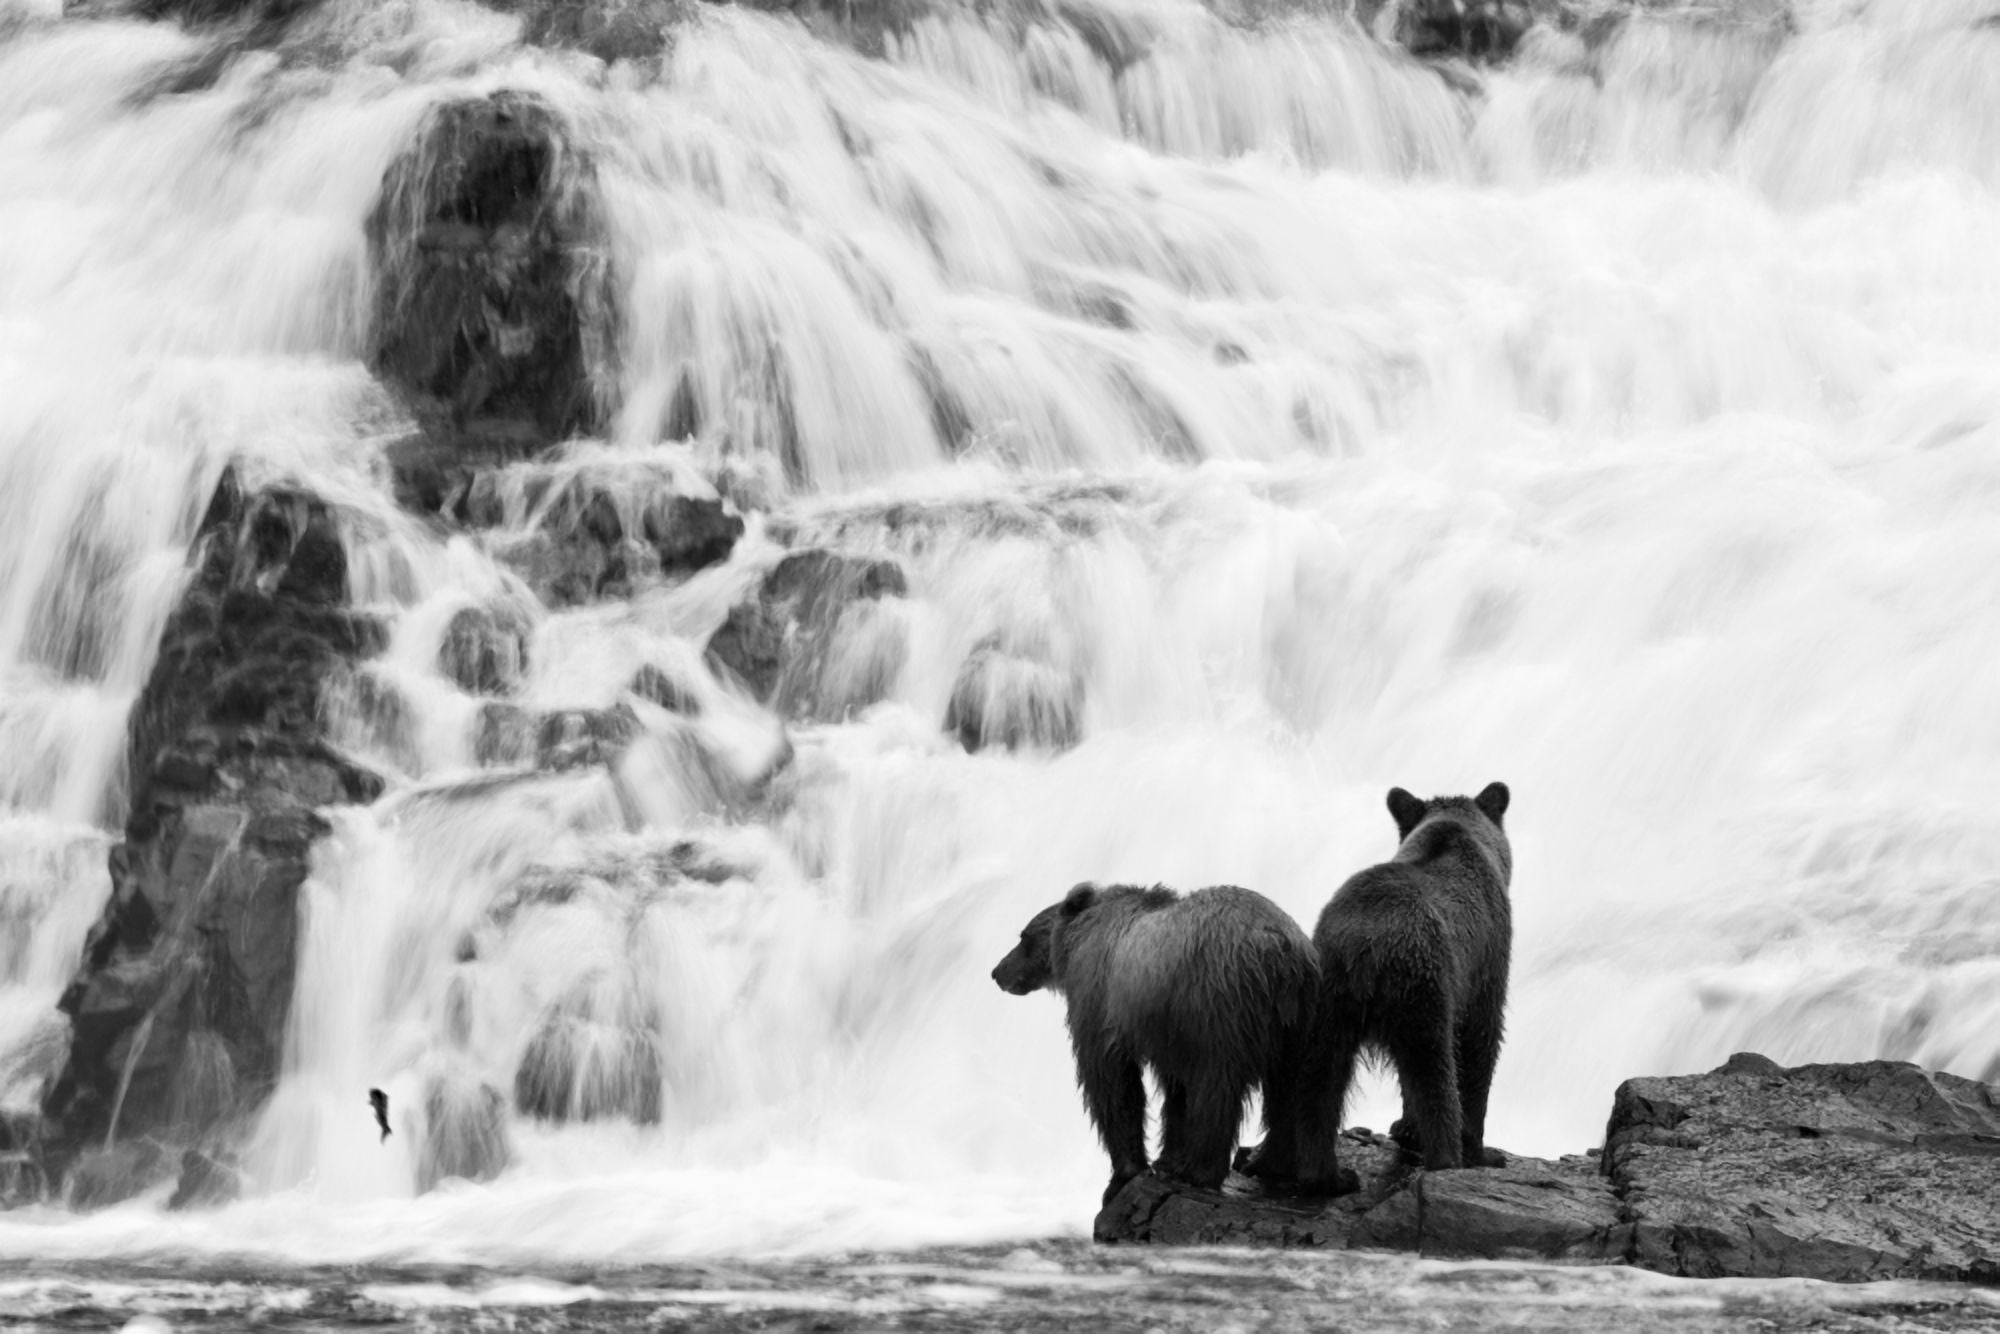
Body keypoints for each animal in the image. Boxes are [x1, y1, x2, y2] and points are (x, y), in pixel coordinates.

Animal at [992, 882, 1318, 1206]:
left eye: (1023, 936)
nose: (997, 972)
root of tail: (1279, 948)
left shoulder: (1102, 999)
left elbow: (1111, 1081)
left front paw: (1124, 1175)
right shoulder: (1168, 1027)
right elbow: (1175, 1090)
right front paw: (1168, 1159)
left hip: (1222, 1003)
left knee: (1216, 1088)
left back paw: (1200, 1172)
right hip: (1297, 1020)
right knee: (1289, 1089)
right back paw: (1269, 1163)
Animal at [1242, 781, 1512, 1193]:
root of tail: (1365, 944)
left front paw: (1404, 1128)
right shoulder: (1487, 956)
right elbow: (1480, 1040)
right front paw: (1482, 1151)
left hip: (1321, 1004)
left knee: (1316, 1080)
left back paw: (1308, 1170)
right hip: (1423, 986)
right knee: (1433, 1069)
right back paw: (1446, 1159)